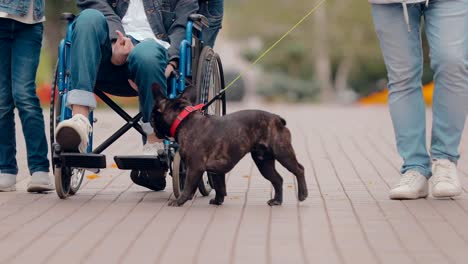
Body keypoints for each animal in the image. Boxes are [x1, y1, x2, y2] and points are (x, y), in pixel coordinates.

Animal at [152, 84, 308, 206]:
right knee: (277, 179)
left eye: (153, 113)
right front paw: (218, 201)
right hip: (264, 162)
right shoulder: (215, 169)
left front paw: (179, 201)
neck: (184, 120)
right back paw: (277, 201)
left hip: (282, 152)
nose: (151, 121)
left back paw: (302, 194)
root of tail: (277, 118)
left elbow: (188, 186)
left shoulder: (194, 167)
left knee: (299, 169)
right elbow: (219, 185)